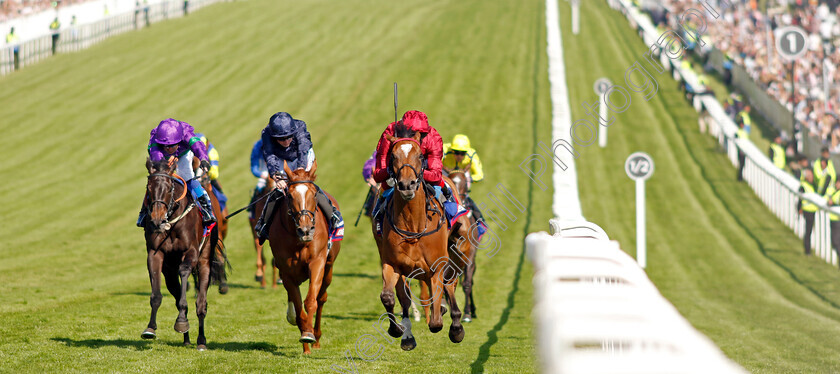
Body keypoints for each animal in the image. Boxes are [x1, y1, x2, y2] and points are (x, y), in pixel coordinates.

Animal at [139, 159, 218, 350]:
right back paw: (187, 338)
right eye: (149, 188)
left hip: (205, 261)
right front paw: (150, 328)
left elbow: (184, 271)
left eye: (169, 188)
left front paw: (181, 321)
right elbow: (156, 295)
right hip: (169, 273)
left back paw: (201, 341)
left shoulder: (191, 252)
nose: (157, 220)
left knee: (201, 304)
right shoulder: (155, 253)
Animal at [266, 160, 338, 354]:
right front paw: (305, 337)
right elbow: (298, 307)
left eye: (313, 194)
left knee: (321, 298)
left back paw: (317, 337)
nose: (305, 230)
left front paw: (310, 334)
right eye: (290, 196)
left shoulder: (317, 262)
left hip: (329, 268)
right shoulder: (287, 271)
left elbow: (310, 300)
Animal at [376, 124, 466, 352]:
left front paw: (449, 321)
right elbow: (388, 297)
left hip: (458, 247)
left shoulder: (437, 265)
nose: (407, 185)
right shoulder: (392, 263)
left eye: (420, 155)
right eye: (393, 156)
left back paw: (455, 324)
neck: (413, 224)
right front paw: (397, 330)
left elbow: (435, 321)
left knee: (450, 283)